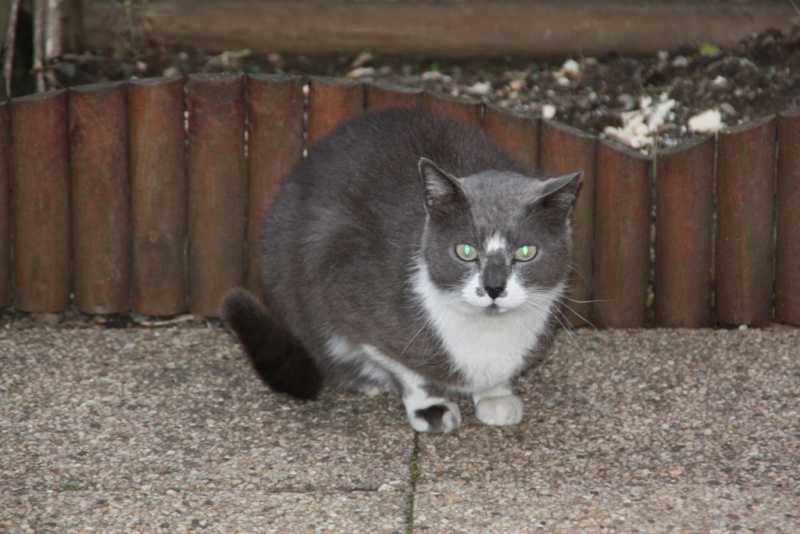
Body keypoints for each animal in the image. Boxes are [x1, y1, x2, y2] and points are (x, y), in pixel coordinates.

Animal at [220, 108, 580, 436]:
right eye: (465, 251)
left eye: (526, 252)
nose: (493, 288)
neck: (488, 333)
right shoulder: (345, 291)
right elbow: (406, 367)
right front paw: (431, 407)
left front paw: (496, 395)